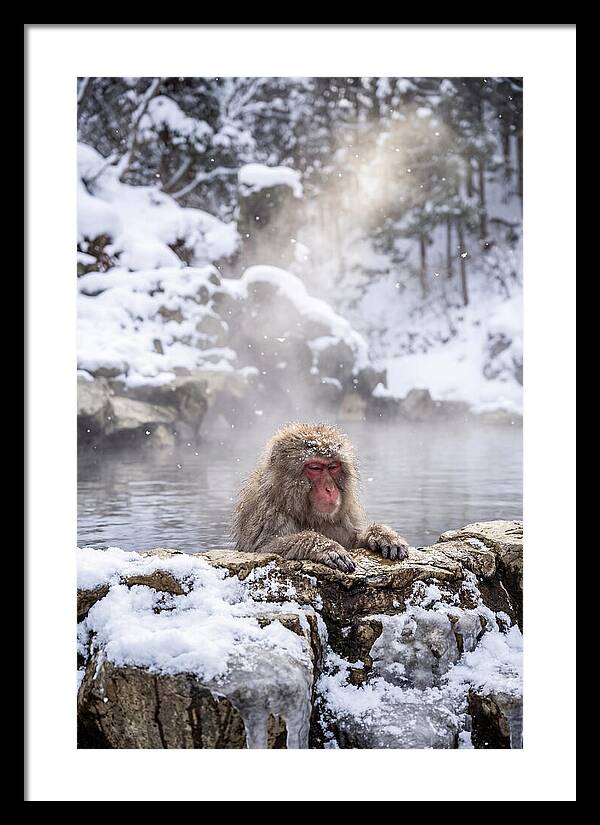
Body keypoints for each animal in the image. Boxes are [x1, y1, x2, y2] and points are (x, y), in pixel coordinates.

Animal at [231, 422, 410, 573]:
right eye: (315, 468)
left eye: (333, 467)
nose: (329, 489)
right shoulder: (266, 512)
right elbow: (263, 549)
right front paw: (325, 547)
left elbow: (353, 541)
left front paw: (381, 535)